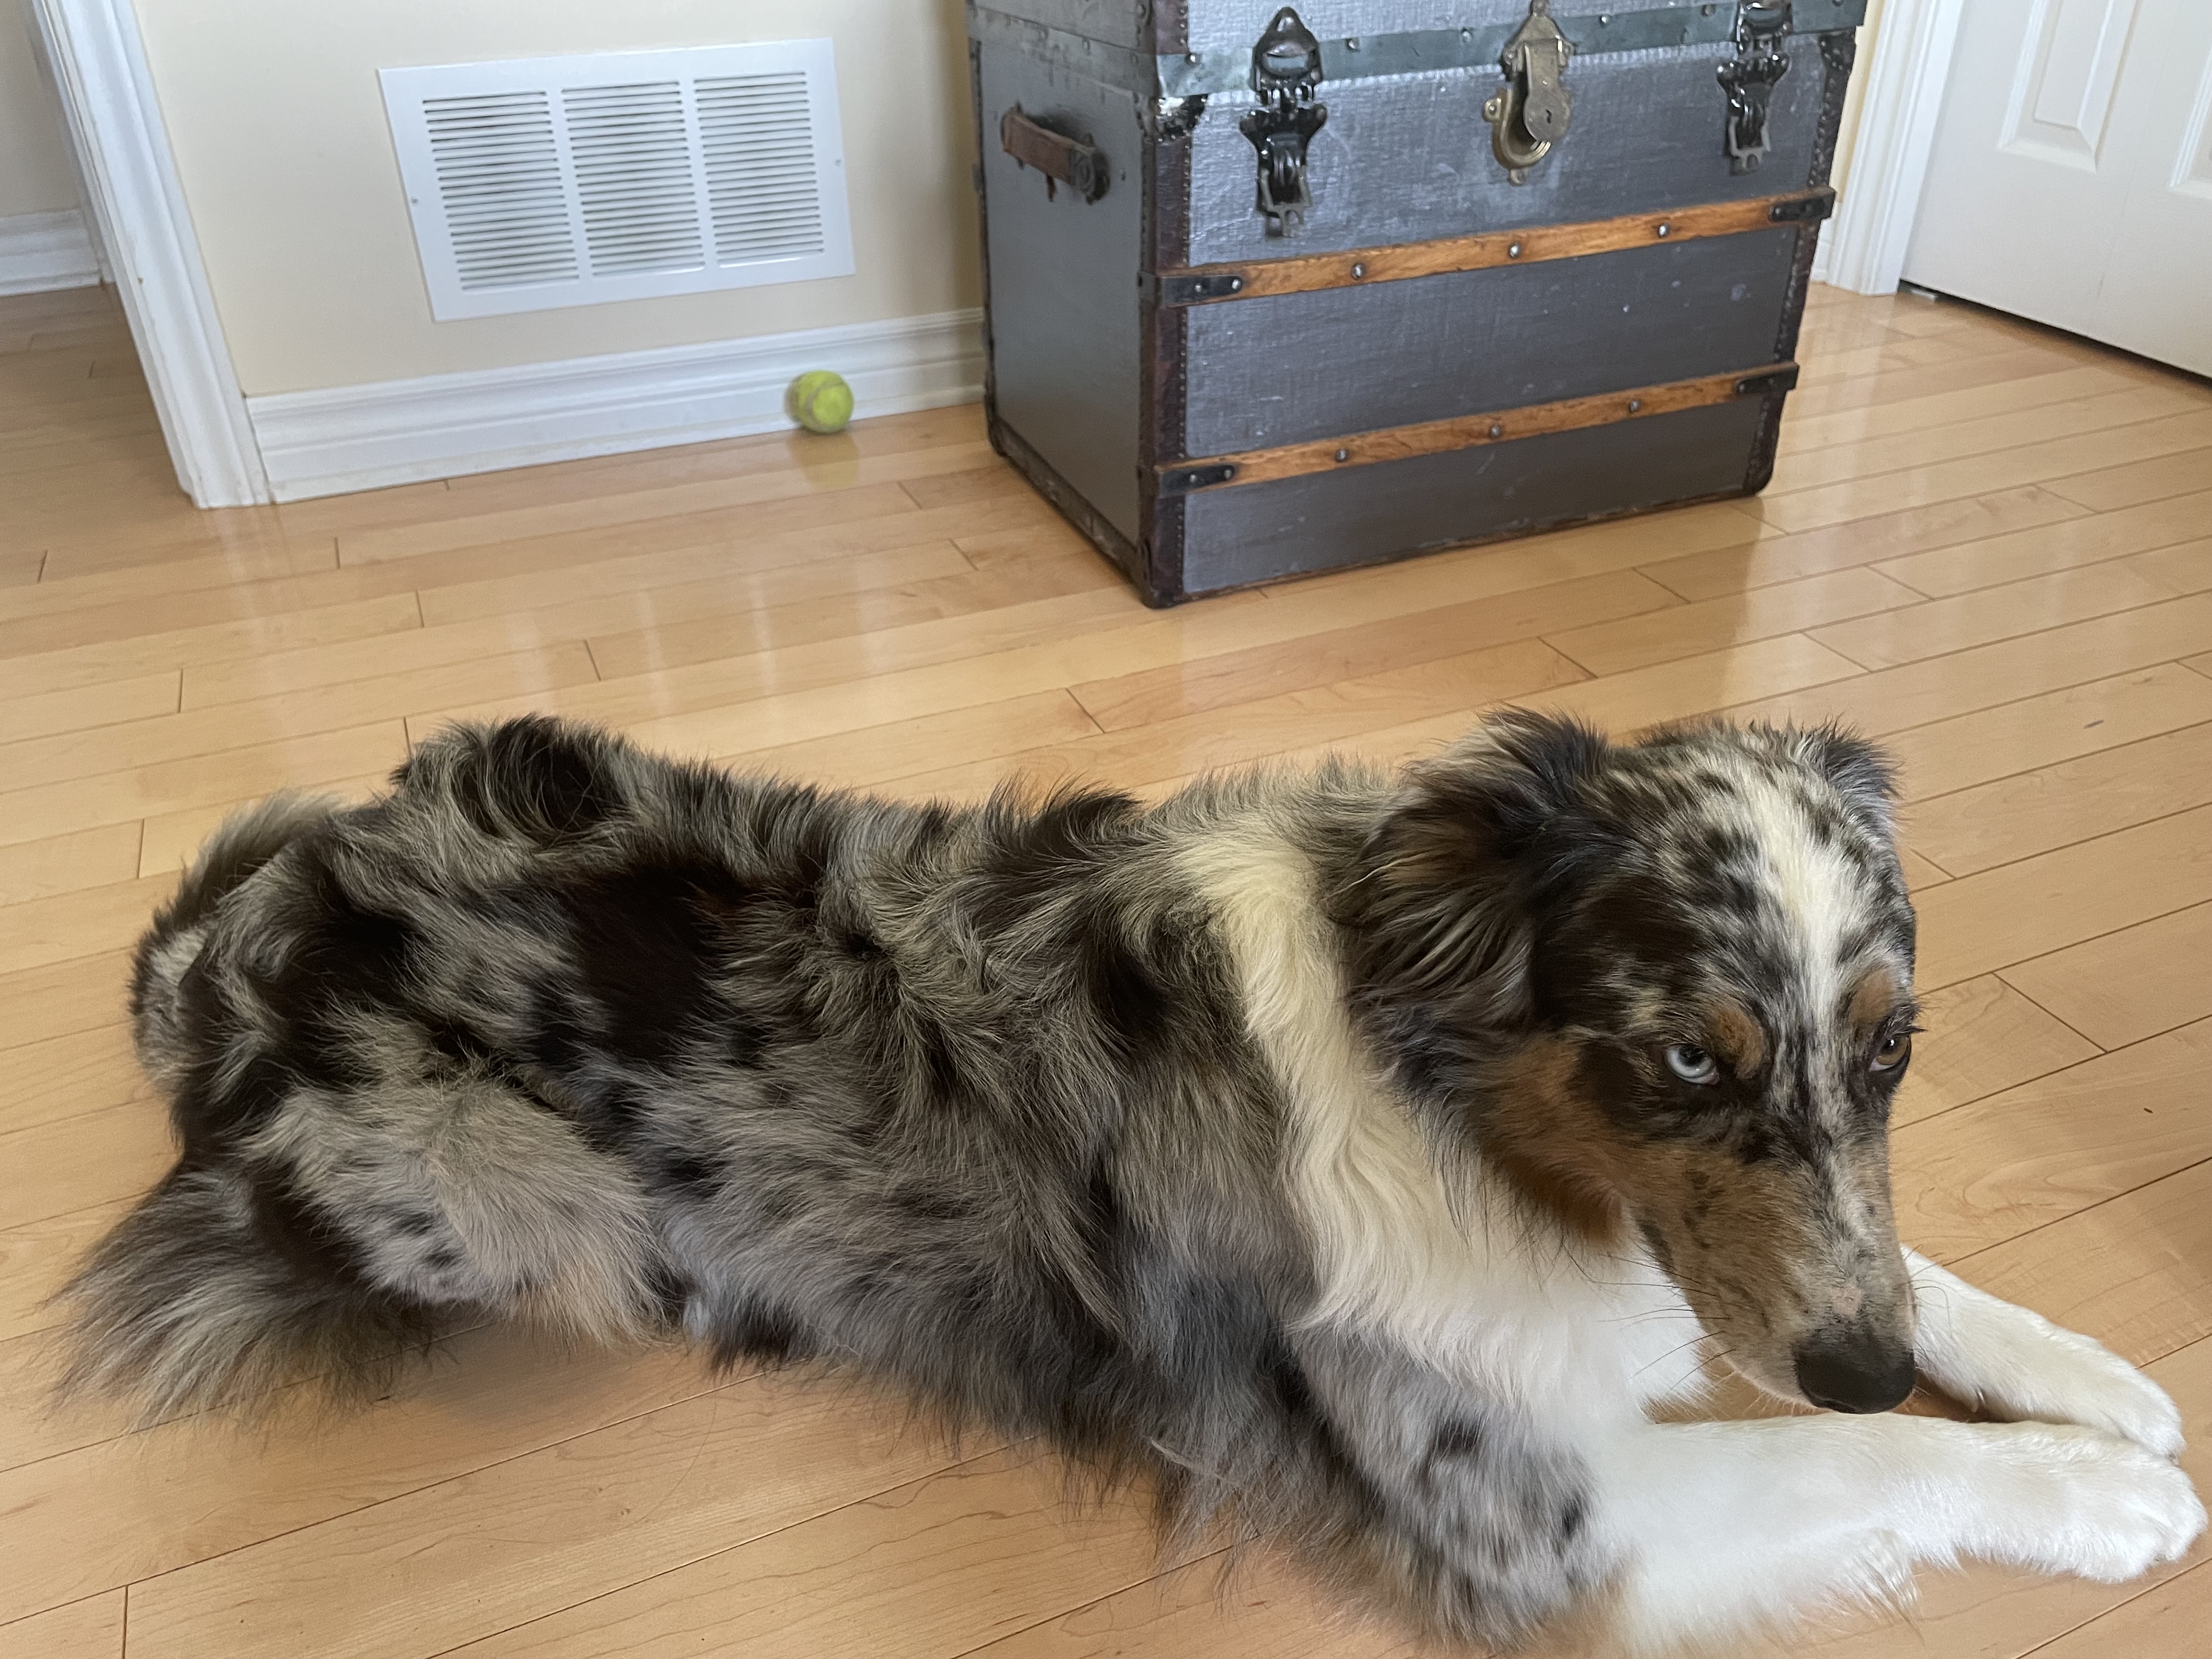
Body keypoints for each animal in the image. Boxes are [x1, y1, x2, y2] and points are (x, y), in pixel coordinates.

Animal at [60, 712, 2203, 1654]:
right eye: (1688, 1057)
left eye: (1895, 1048)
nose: (1851, 1355)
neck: (1465, 1120)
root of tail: (228, 944)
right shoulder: (1532, 1514)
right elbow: (1856, 1459)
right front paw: (2099, 1498)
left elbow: (1912, 1297)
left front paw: (2095, 1379)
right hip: (517, 1206)